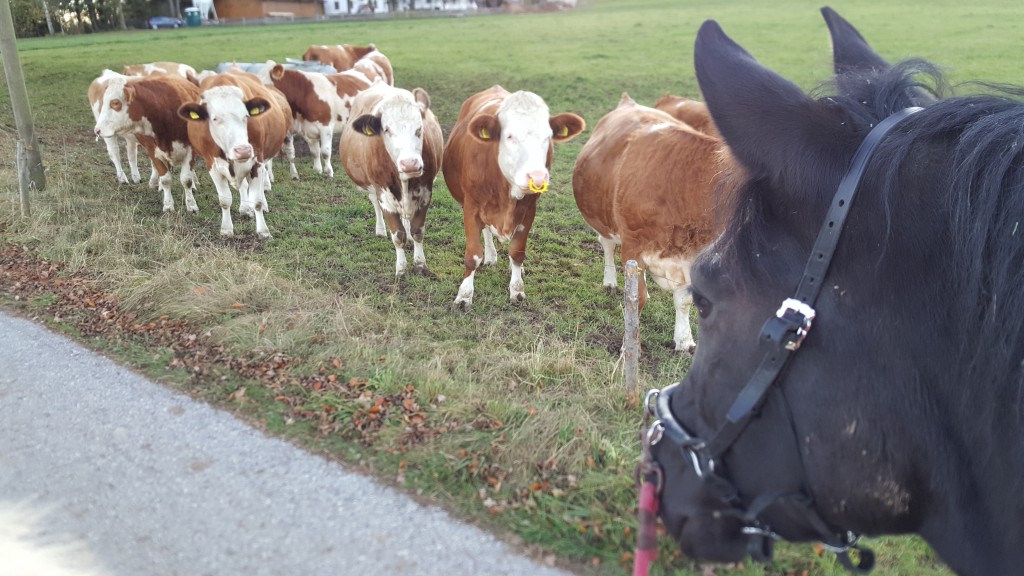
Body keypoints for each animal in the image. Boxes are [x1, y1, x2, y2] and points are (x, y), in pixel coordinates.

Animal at [93, 72, 202, 212]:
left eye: (115, 102)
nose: (97, 130)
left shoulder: (190, 150)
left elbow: (186, 179)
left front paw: (191, 205)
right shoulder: (153, 149)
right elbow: (166, 178)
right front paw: (168, 205)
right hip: (113, 137)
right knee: (116, 154)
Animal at [178, 70, 290, 237]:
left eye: (246, 116)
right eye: (215, 118)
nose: (243, 150)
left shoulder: (256, 162)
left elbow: (256, 200)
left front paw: (263, 231)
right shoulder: (212, 165)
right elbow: (225, 200)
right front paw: (226, 229)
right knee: (243, 186)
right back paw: (245, 208)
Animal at [342, 82, 442, 276]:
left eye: (420, 128)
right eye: (387, 130)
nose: (410, 164)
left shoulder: (425, 192)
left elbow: (417, 231)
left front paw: (420, 264)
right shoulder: (384, 194)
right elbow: (397, 235)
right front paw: (401, 269)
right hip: (372, 187)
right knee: (375, 203)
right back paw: (380, 230)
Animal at [442, 84, 585, 309]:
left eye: (548, 136)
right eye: (509, 136)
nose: (537, 177)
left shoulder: (528, 210)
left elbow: (517, 252)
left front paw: (517, 290)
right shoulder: (471, 207)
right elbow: (473, 255)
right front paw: (464, 295)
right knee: (486, 231)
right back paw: (490, 256)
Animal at [573, 92, 724, 352]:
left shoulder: (691, 257)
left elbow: (684, 301)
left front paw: (684, 340)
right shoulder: (632, 243)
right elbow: (637, 298)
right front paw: (629, 346)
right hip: (604, 218)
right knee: (607, 245)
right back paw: (610, 281)